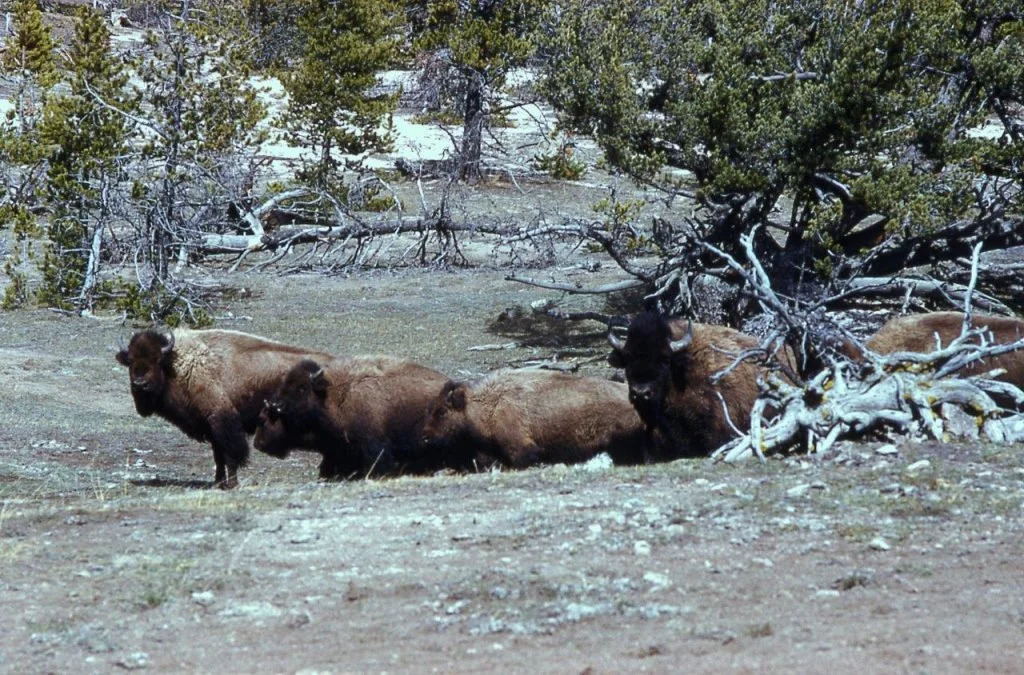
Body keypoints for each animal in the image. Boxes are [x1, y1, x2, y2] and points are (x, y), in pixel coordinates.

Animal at [116, 328, 334, 488]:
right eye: (131, 361)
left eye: (157, 359)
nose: (140, 383)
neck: (178, 365)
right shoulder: (211, 427)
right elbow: (218, 456)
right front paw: (217, 483)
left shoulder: (223, 421)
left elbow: (231, 455)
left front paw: (232, 484)